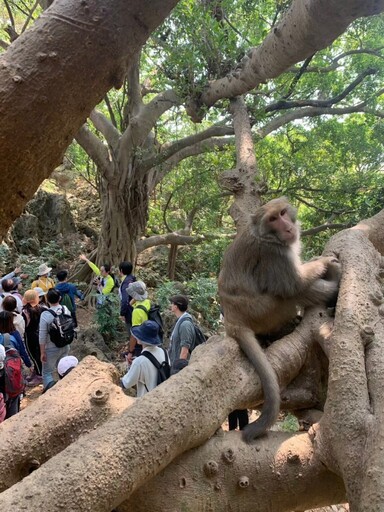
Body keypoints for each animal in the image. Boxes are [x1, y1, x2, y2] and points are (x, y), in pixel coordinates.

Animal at [218, 198, 340, 442]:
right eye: (273, 219)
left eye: (283, 213)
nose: (287, 227)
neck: (266, 235)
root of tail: (233, 318)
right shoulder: (274, 254)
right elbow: (294, 284)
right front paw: (323, 261)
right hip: (264, 311)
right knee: (291, 293)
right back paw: (334, 287)